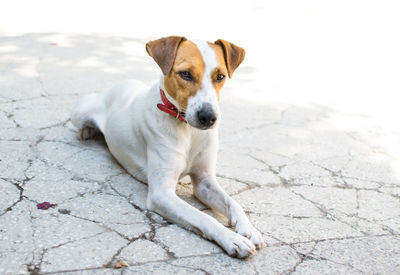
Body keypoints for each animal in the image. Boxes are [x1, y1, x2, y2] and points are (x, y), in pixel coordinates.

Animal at [72, 36, 266, 258]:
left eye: (220, 76)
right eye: (185, 74)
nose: (208, 117)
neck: (188, 130)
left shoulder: (204, 181)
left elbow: (234, 203)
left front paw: (248, 229)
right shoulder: (161, 194)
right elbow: (203, 217)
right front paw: (231, 238)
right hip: (78, 113)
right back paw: (87, 131)